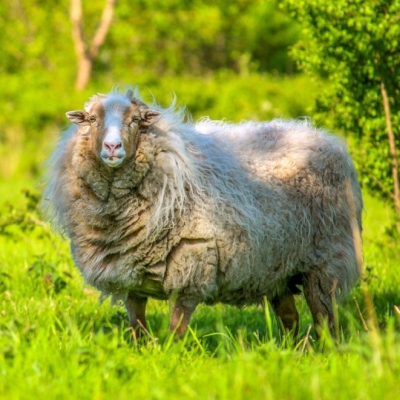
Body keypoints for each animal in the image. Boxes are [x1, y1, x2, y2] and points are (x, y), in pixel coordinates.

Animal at [43, 87, 362, 338]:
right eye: (92, 120)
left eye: (134, 120)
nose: (112, 147)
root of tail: (328, 139)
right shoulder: (131, 276)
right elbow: (137, 328)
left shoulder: (191, 267)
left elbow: (176, 330)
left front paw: (170, 358)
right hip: (277, 267)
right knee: (290, 318)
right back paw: (291, 352)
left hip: (326, 261)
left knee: (324, 318)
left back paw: (325, 350)